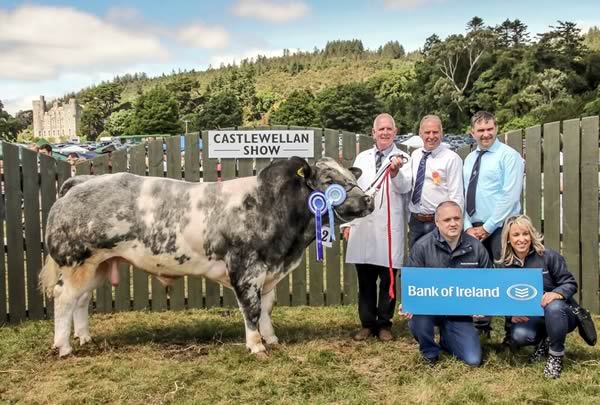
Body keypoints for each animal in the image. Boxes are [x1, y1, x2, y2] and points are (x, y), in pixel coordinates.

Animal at [39, 156, 372, 356]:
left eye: (350, 174)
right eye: (328, 179)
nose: (368, 199)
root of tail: (79, 182)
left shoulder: (269, 271)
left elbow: (266, 308)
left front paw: (271, 339)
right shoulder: (245, 269)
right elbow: (251, 310)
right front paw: (256, 346)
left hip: (97, 264)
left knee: (81, 301)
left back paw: (84, 337)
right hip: (77, 261)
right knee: (65, 298)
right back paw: (63, 347)